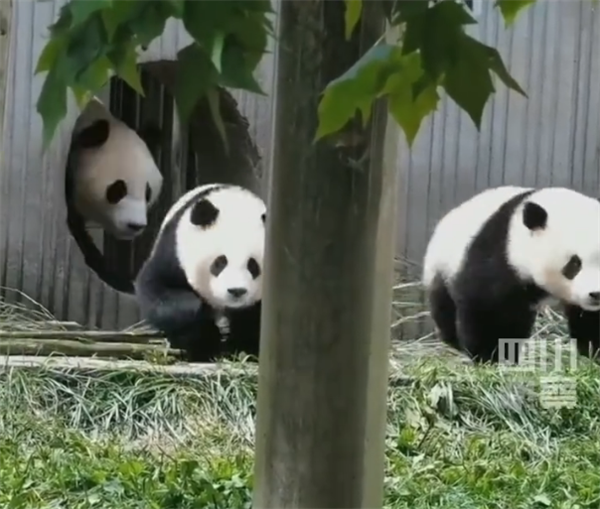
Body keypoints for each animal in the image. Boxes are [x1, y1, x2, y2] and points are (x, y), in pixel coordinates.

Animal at [136, 183, 268, 362]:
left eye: (253, 266)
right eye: (220, 262)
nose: (236, 291)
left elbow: (255, 317)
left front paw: (243, 348)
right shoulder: (174, 252)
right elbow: (157, 289)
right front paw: (197, 312)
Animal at [422, 185, 600, 364]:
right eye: (574, 263)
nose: (596, 294)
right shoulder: (498, 255)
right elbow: (485, 305)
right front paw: (488, 356)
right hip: (441, 265)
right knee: (445, 307)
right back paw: (454, 342)